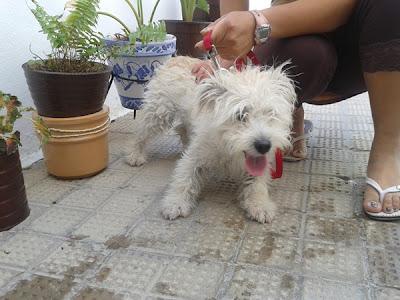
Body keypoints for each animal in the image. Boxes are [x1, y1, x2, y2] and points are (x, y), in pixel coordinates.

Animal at [126, 57, 296, 224]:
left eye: (271, 114)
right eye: (240, 115)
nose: (264, 145)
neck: (227, 147)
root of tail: (177, 57)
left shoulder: (260, 164)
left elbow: (257, 185)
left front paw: (260, 204)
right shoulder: (194, 157)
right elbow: (183, 180)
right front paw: (176, 202)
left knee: (181, 129)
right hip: (158, 113)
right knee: (141, 134)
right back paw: (135, 155)